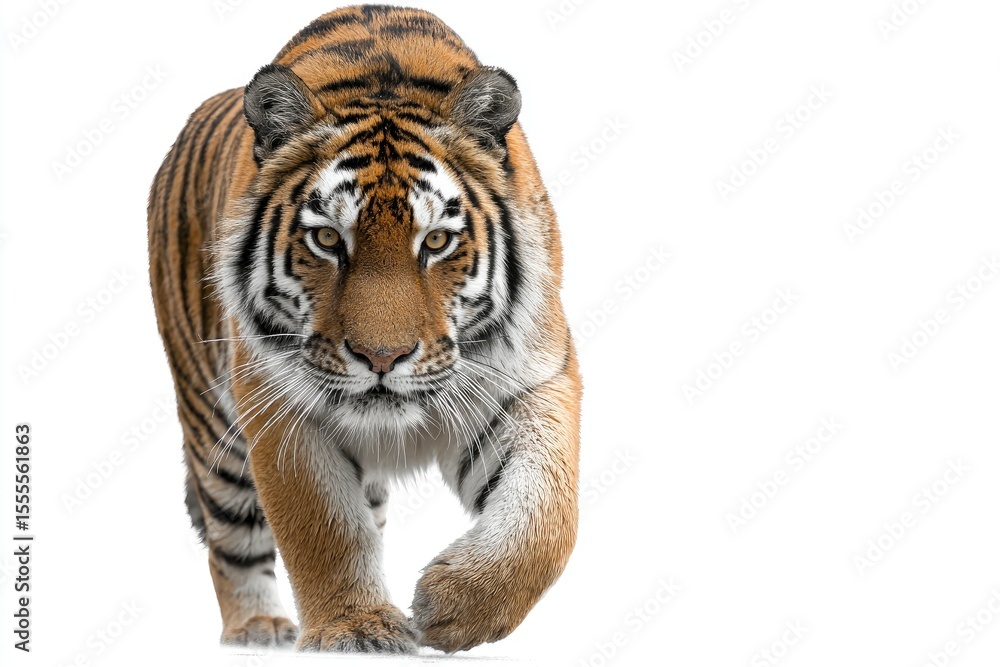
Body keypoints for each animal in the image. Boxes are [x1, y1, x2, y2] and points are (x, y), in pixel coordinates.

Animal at [147, 4, 580, 654]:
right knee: (233, 537)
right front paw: (357, 629)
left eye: (436, 241)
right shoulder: (278, 405)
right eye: (327, 239)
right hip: (212, 425)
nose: (381, 358)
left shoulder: (530, 381)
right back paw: (257, 629)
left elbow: (546, 513)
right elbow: (323, 529)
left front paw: (457, 608)